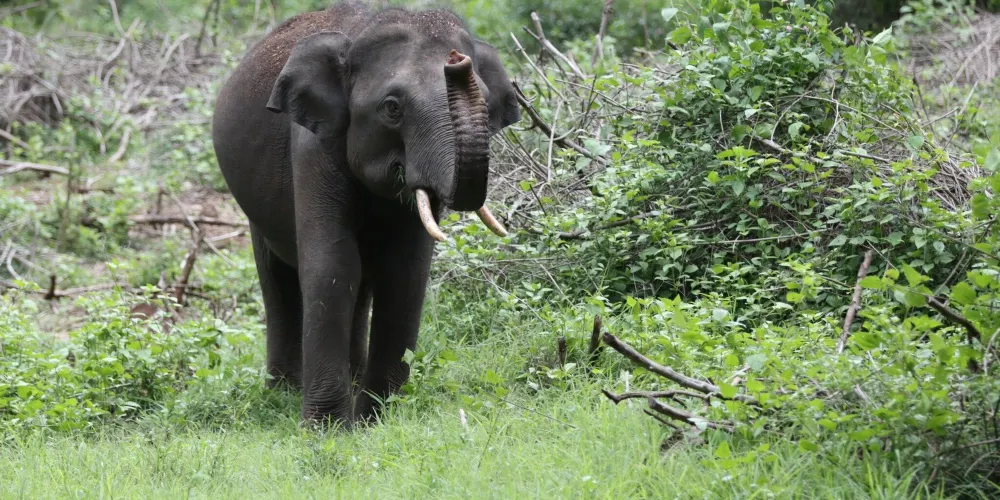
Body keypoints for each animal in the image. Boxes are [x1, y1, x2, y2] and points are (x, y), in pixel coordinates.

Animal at [210, 1, 520, 427]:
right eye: (391, 108)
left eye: (487, 107)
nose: (457, 61)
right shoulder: (313, 145)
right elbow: (332, 265)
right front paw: (327, 429)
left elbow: (405, 271)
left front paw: (376, 419)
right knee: (277, 278)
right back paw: (282, 392)